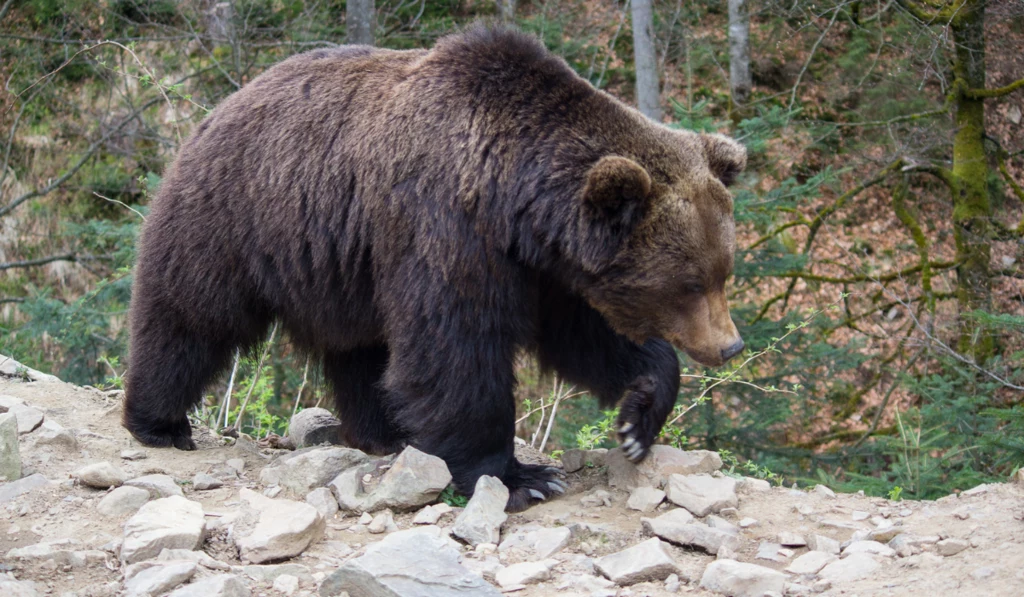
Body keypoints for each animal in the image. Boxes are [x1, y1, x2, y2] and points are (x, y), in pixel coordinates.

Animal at [125, 23, 745, 509]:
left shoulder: (545, 270)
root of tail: (219, 108)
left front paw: (639, 418)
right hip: (237, 217)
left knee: (361, 349)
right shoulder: (446, 223)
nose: (730, 346)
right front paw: (520, 477)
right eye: (689, 282)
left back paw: (387, 433)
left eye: (723, 273)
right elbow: (457, 348)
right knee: (191, 315)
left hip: (344, 266)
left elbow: (584, 337)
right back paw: (160, 422)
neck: (515, 203)